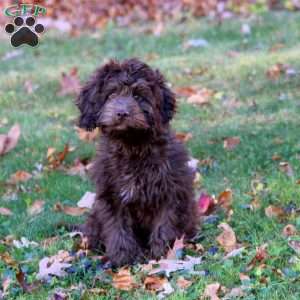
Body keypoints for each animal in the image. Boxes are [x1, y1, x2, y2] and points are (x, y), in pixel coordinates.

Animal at [75, 58, 197, 268]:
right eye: (111, 94)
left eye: (139, 96)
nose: (122, 113)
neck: (131, 145)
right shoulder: (111, 197)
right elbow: (118, 228)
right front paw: (123, 258)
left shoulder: (171, 192)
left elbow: (164, 225)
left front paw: (162, 254)